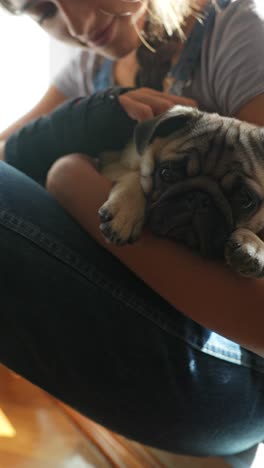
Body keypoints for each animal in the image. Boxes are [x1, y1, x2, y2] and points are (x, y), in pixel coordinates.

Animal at [97, 105, 264, 278]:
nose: (199, 198)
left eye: (244, 200)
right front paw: (126, 213)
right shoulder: (110, 162)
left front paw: (253, 243)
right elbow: (136, 176)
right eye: (167, 174)